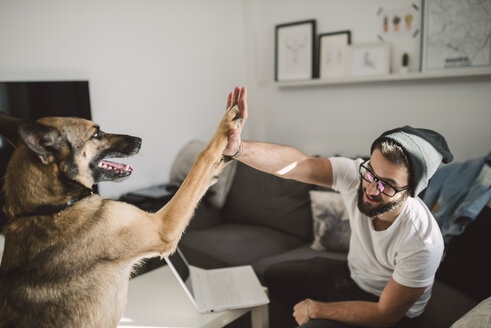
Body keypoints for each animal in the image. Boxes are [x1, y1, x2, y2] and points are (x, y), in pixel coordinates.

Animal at [0, 106, 239, 326]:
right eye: (96, 134)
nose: (139, 140)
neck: (51, 207)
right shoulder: (162, 226)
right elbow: (201, 161)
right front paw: (227, 125)